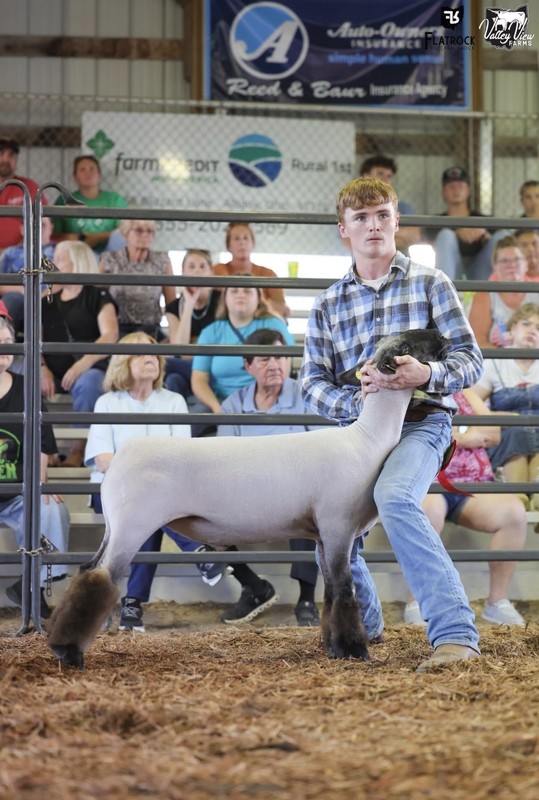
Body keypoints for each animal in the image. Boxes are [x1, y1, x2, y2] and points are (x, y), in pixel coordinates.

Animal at [47, 329, 449, 669]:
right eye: (407, 346)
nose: (442, 335)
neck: (366, 441)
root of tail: (119, 460)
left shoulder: (324, 534)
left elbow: (332, 592)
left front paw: (335, 647)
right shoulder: (338, 525)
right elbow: (345, 590)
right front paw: (354, 651)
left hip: (116, 525)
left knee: (87, 571)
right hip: (133, 524)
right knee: (99, 578)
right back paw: (68, 652)